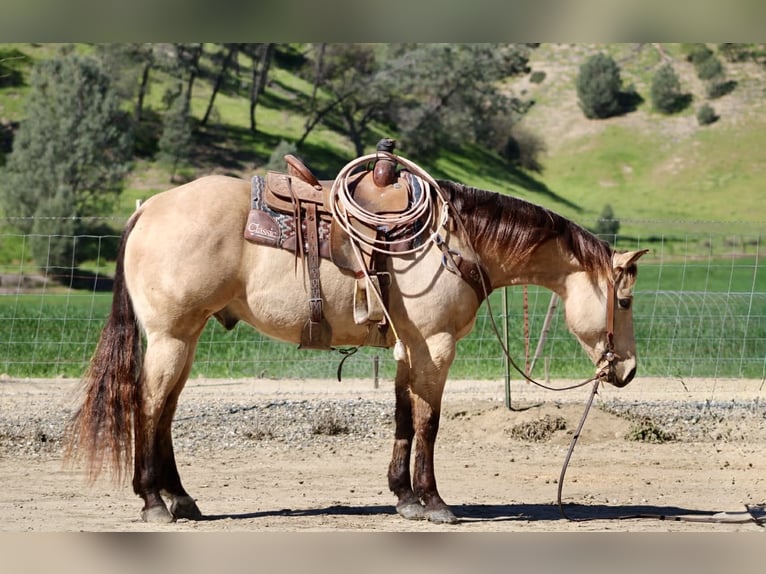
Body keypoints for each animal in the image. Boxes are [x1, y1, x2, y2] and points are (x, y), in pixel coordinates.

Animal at [65, 168, 648, 525]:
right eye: (623, 300)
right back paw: (152, 501)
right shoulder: (436, 347)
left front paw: (404, 497)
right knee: (147, 405)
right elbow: (429, 424)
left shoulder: (409, 348)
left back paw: (180, 498)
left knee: (163, 412)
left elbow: (404, 419)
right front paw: (434, 501)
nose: (627, 369)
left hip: (185, 338)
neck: (457, 241)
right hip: (171, 336)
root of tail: (147, 209)